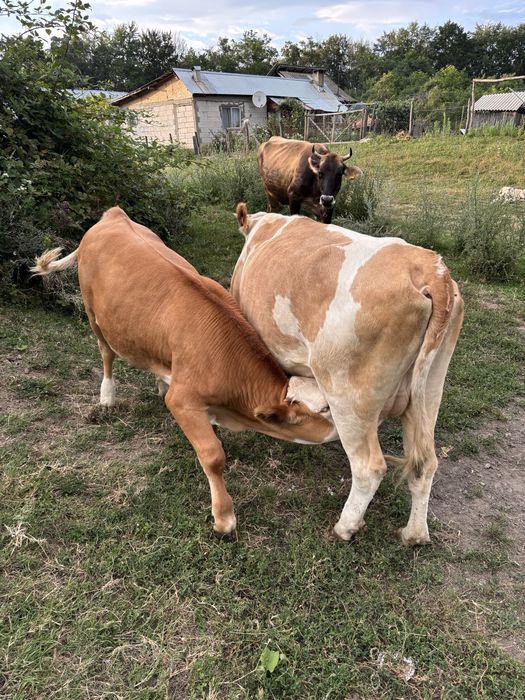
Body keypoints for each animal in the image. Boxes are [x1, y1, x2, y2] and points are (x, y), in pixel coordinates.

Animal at [31, 207, 338, 540]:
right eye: (324, 409)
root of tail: (113, 214)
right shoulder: (183, 400)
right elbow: (213, 456)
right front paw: (224, 518)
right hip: (93, 314)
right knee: (106, 353)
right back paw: (107, 396)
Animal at [231, 204, 464, 545]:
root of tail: (431, 271)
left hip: (349, 394)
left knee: (369, 467)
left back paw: (346, 526)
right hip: (431, 389)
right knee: (425, 463)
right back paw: (413, 534)